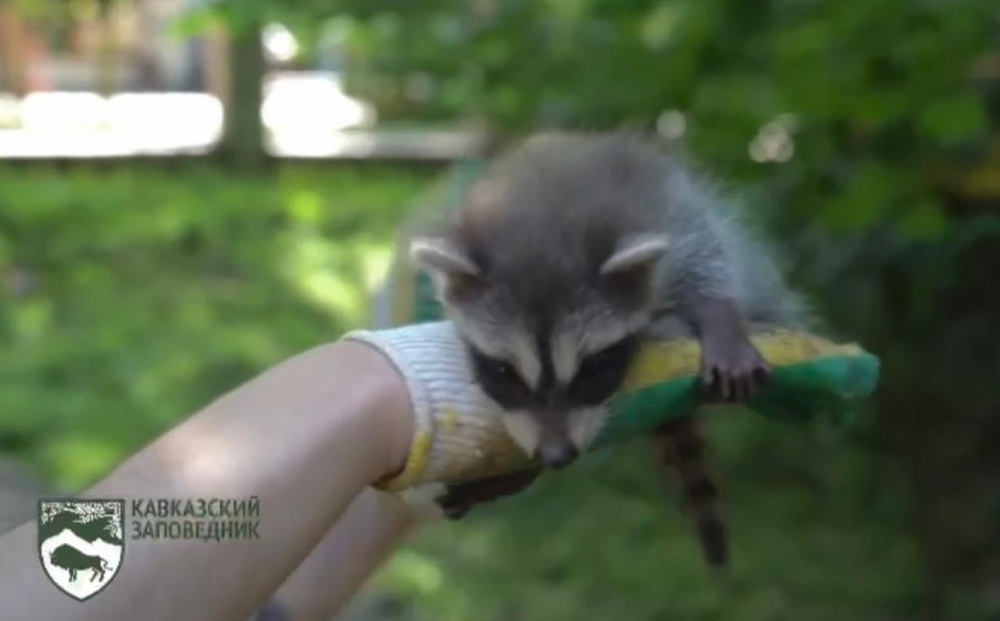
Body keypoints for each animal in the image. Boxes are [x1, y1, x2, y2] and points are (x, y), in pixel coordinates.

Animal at [410, 132, 808, 568]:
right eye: (504, 373)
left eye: (592, 368)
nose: (555, 455)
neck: (542, 229)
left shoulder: (667, 210)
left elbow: (708, 251)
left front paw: (718, 312)